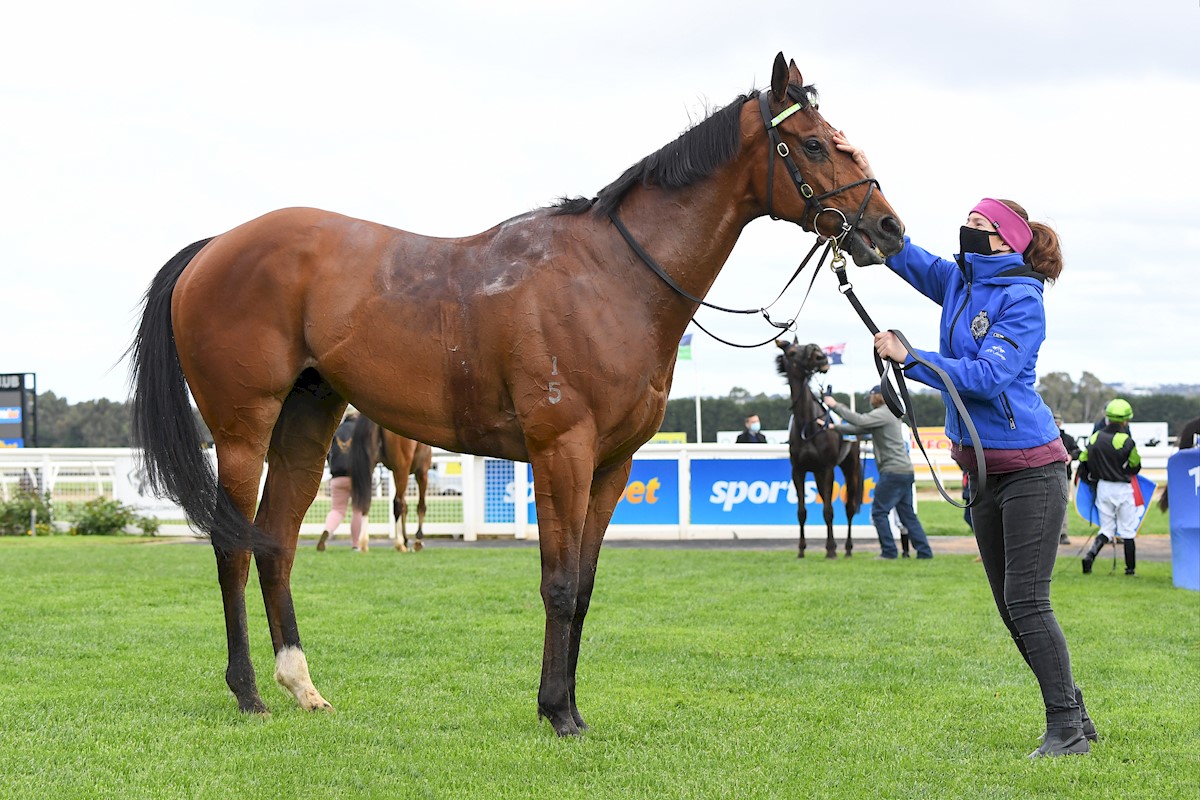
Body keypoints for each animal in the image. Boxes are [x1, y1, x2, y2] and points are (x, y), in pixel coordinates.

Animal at [345, 417, 434, 554]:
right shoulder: (422, 472)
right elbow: (420, 506)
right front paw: (417, 541)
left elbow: (405, 507)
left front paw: (407, 539)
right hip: (402, 469)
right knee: (397, 503)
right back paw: (399, 544)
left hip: (370, 467)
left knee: (367, 500)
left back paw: (364, 543)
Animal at [777, 340, 864, 561]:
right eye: (792, 351)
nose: (820, 356)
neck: (807, 425)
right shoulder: (798, 470)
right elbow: (802, 512)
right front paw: (801, 549)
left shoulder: (827, 468)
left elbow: (829, 511)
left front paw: (831, 549)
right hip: (816, 473)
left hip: (850, 467)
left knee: (849, 507)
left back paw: (848, 548)